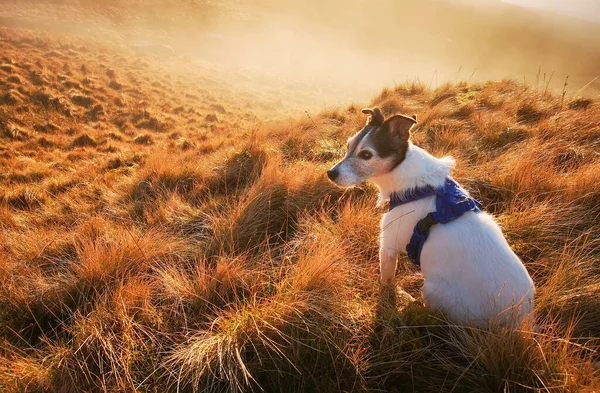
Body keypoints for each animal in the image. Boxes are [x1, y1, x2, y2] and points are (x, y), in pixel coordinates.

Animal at [328, 105, 536, 326]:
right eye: (348, 145)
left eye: (366, 155)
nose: (330, 173)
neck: (414, 182)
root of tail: (520, 320)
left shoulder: (388, 246)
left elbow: (386, 281)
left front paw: (391, 296)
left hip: (432, 290)